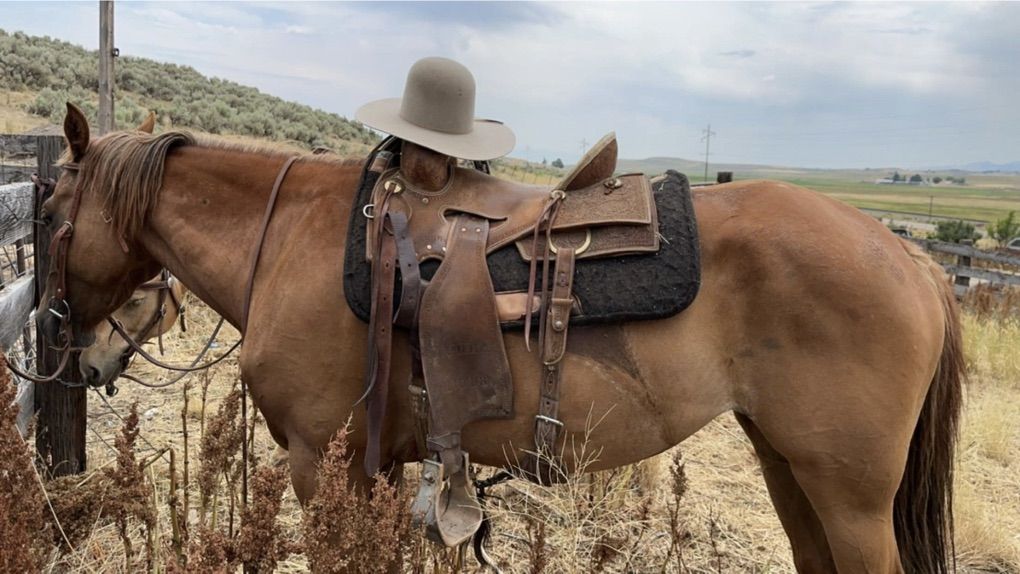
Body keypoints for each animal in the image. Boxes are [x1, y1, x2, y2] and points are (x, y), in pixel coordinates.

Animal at [36, 103, 963, 573]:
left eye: (48, 215)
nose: (68, 346)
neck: (293, 241)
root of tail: (915, 261)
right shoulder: (380, 463)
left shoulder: (319, 462)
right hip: (789, 468)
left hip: (851, 498)